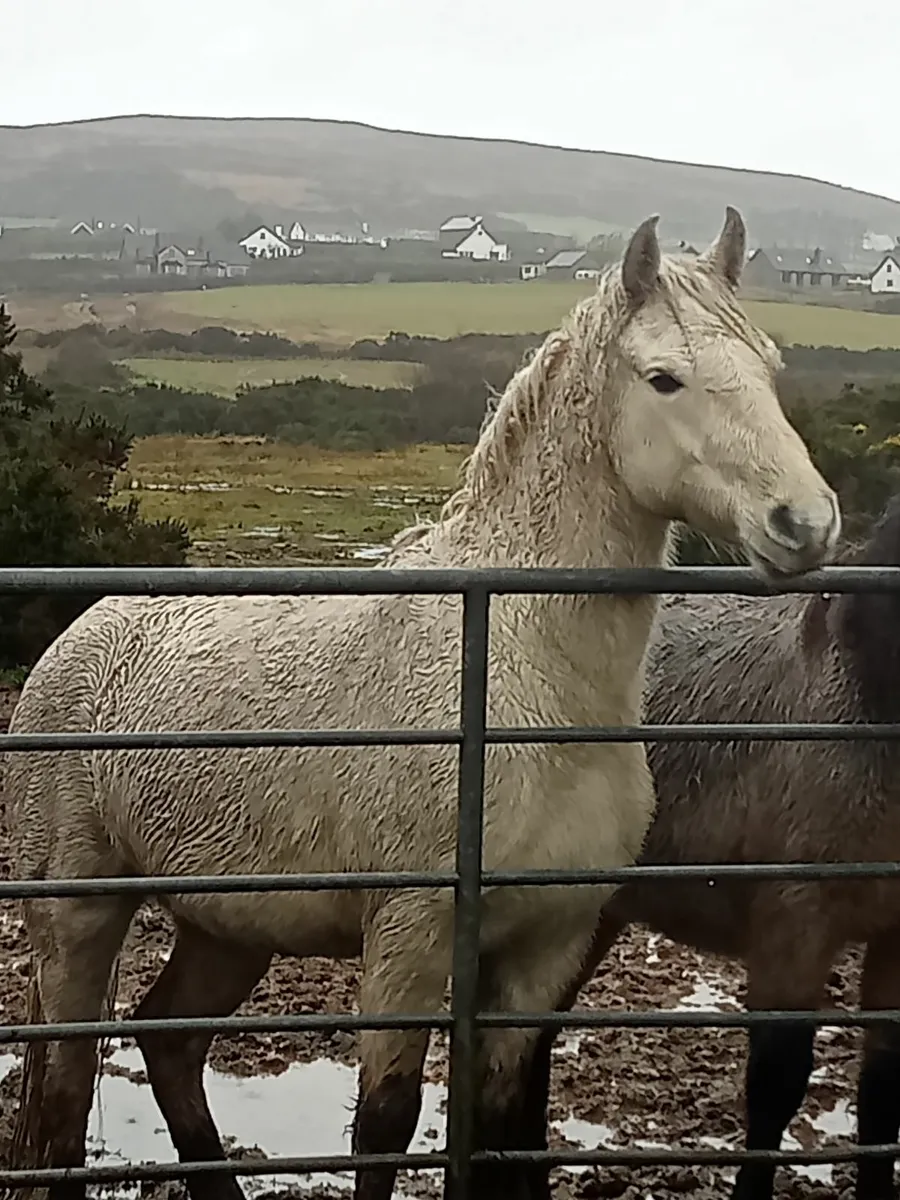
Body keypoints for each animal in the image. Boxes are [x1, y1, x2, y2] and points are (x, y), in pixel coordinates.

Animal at [5, 208, 839, 1200]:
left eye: (771, 367)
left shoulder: (544, 948)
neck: (525, 674)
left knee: (169, 1041)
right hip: (79, 918)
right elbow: (385, 1126)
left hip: (229, 924)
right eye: (664, 377)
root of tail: (76, 640)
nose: (806, 525)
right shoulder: (408, 941)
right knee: (63, 1092)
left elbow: (501, 1123)